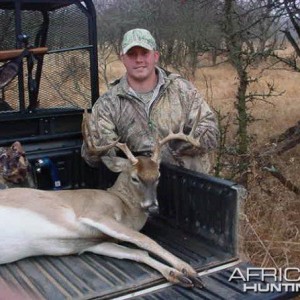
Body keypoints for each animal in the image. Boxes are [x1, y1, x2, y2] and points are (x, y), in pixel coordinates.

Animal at [0, 108, 206, 288]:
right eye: (135, 178)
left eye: (158, 176)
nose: (152, 206)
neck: (123, 206)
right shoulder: (94, 213)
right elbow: (144, 240)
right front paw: (187, 269)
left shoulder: (93, 243)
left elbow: (139, 253)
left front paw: (178, 275)